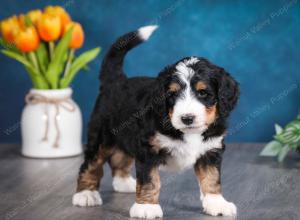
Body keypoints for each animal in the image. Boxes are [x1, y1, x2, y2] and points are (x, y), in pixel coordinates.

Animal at [72, 25, 239, 218]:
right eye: (172, 94)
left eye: (203, 93)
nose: (187, 118)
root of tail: (115, 81)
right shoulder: (148, 150)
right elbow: (149, 180)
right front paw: (146, 207)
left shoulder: (210, 150)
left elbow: (212, 178)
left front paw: (217, 203)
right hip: (101, 136)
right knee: (91, 164)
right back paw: (85, 194)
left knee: (120, 158)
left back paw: (124, 182)